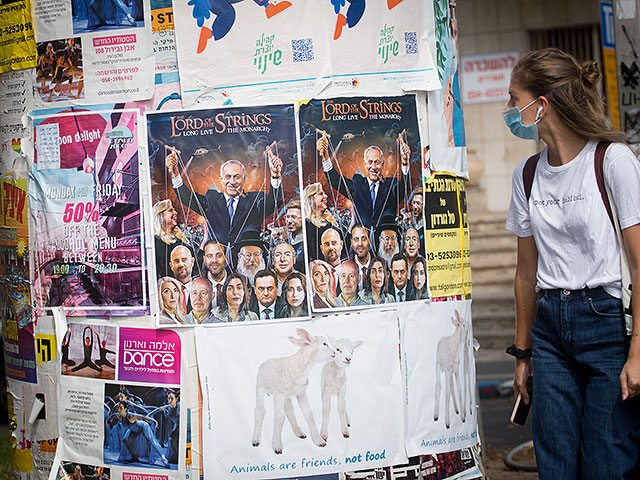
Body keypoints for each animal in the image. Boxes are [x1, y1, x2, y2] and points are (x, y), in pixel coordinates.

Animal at [251, 328, 336, 456]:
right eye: (324, 344)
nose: (335, 353)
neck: (299, 366)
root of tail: (267, 360)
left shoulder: (301, 392)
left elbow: (309, 414)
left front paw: (319, 440)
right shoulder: (278, 394)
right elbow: (279, 417)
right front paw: (277, 446)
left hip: (287, 397)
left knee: (290, 411)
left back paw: (299, 433)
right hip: (259, 387)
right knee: (260, 411)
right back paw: (256, 440)